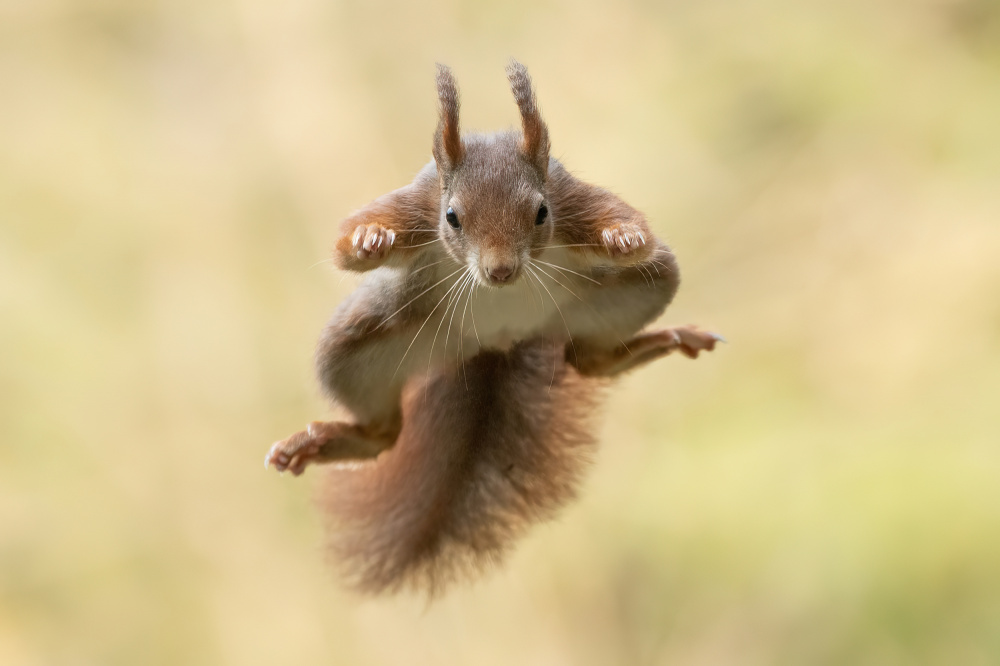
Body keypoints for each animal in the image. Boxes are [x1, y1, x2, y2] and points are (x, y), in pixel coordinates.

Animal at [264, 61, 722, 596]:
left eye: (541, 213)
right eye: (451, 217)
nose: (500, 272)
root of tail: (494, 345)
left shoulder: (571, 198)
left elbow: (633, 230)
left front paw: (622, 237)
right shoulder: (415, 204)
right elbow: (348, 247)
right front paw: (369, 238)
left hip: (638, 289)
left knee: (589, 359)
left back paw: (666, 339)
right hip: (357, 346)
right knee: (383, 432)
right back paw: (318, 443)